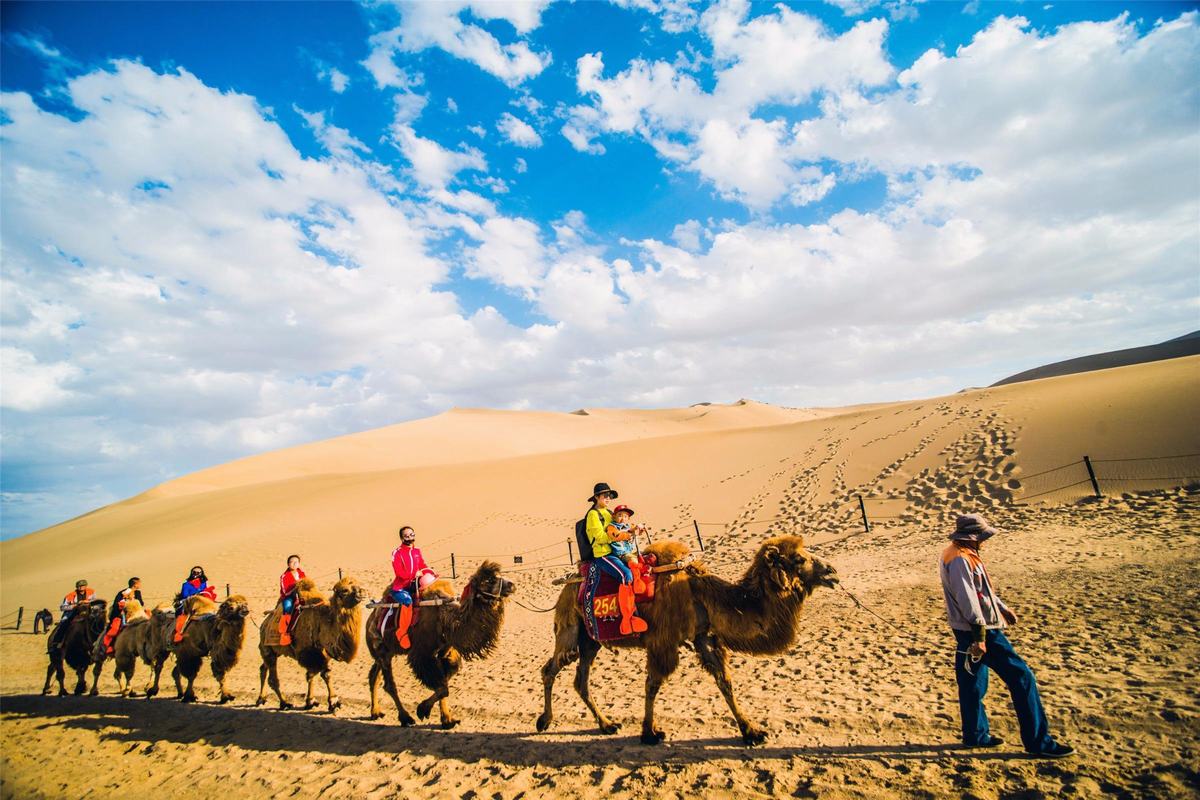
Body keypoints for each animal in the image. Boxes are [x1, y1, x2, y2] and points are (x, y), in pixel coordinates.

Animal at [254, 575, 362, 714]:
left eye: (357, 584)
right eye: (344, 591)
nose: (360, 592)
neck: (322, 622)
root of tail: (263, 624)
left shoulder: (322, 652)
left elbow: (325, 674)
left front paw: (330, 702)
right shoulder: (307, 652)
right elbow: (312, 674)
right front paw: (316, 701)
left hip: (273, 651)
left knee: (263, 668)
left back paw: (261, 699)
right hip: (267, 648)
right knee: (273, 679)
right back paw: (284, 703)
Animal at [364, 563, 516, 724]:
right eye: (489, 580)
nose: (511, 585)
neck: (447, 622)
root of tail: (370, 619)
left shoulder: (445, 651)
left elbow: (444, 681)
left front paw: (447, 719)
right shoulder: (421, 654)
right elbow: (442, 687)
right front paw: (422, 710)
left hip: (386, 651)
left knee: (374, 676)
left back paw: (376, 712)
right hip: (382, 650)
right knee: (389, 685)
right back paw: (405, 718)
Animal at [535, 534, 835, 748]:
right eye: (798, 559)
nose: (831, 571)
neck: (698, 591)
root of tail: (567, 584)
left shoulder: (703, 636)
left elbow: (724, 681)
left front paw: (751, 731)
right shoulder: (663, 642)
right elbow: (652, 685)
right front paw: (650, 733)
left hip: (591, 640)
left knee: (581, 680)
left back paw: (607, 724)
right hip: (570, 631)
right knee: (550, 668)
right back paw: (544, 721)